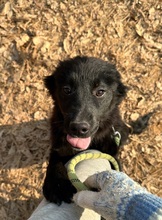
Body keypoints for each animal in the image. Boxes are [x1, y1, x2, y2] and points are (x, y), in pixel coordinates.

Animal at [42, 55, 151, 205]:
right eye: (67, 89)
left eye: (100, 92)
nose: (78, 128)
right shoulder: (59, 142)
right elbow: (55, 159)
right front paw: (57, 184)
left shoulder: (111, 152)